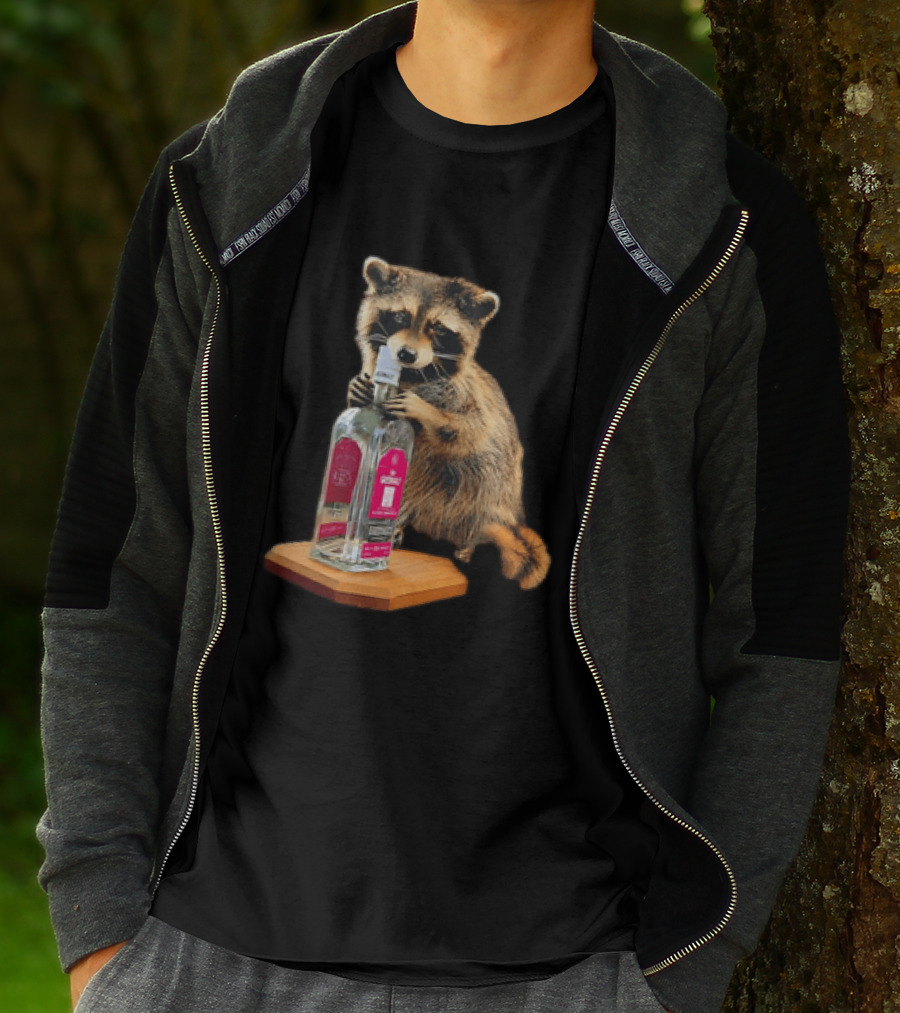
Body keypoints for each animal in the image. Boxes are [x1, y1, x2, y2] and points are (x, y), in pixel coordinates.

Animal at [347, 255, 550, 591]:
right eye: (400, 316)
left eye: (439, 328)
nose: (406, 354)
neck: (412, 374)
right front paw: (357, 390)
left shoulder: (467, 396)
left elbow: (469, 431)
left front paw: (427, 413)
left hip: (484, 500)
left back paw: (472, 541)